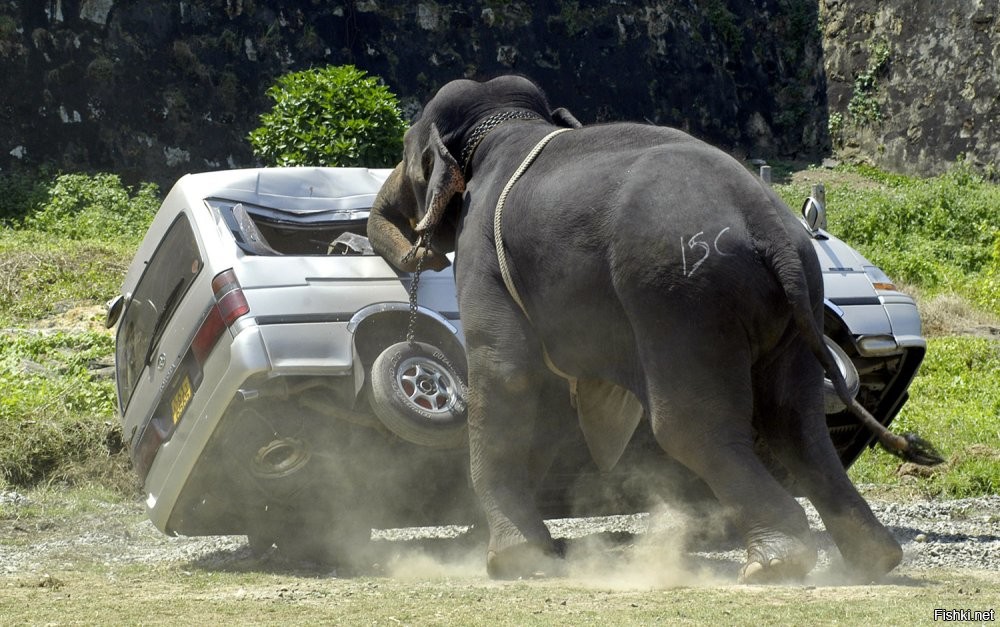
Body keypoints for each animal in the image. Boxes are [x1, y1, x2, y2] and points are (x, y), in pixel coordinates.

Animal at [366, 75, 936, 584]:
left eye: (408, 152)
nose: (419, 251)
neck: (509, 125)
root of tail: (770, 227)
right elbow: (550, 396)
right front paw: (534, 551)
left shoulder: (482, 252)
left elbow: (510, 375)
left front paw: (513, 563)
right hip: (795, 306)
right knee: (796, 418)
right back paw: (874, 559)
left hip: (681, 298)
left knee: (691, 423)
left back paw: (775, 564)